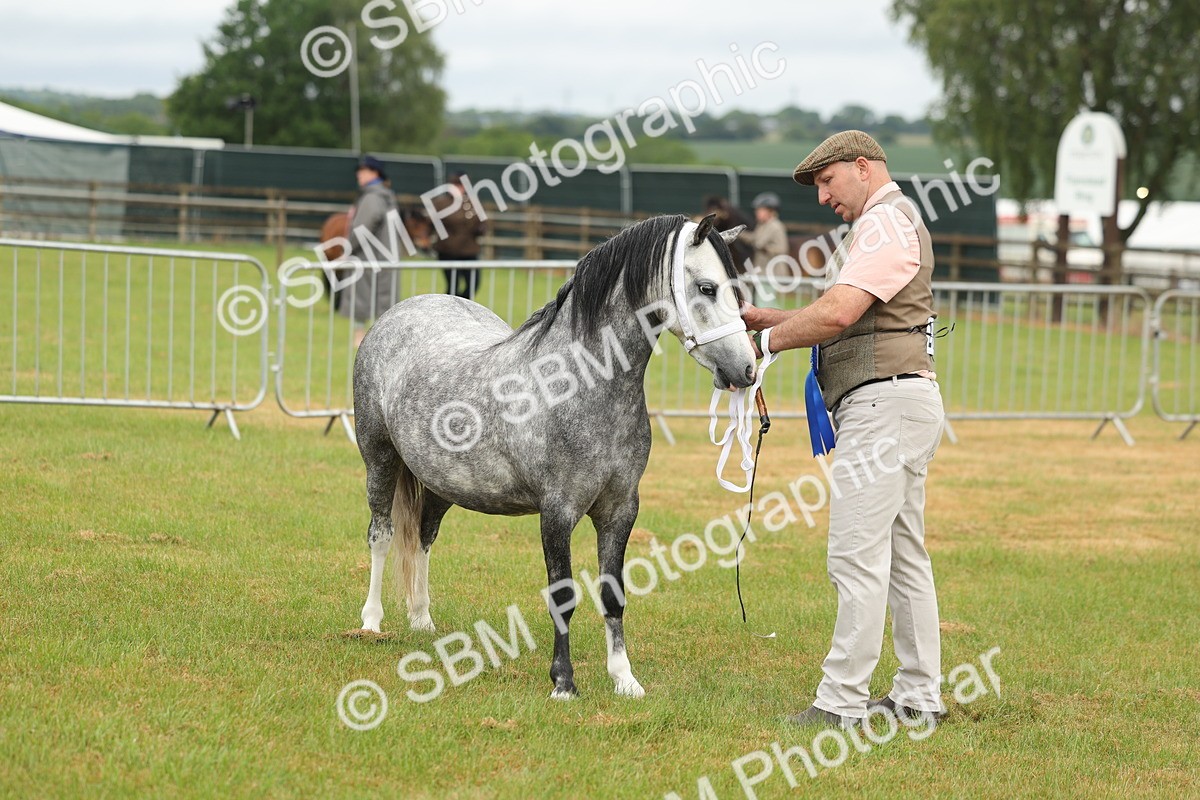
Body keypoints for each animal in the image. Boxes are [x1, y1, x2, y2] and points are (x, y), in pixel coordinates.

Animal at [351, 212, 756, 699]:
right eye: (708, 288)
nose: (747, 369)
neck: (577, 384)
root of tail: (399, 313)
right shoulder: (557, 512)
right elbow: (562, 596)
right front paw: (564, 683)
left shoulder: (620, 509)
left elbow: (612, 593)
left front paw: (624, 678)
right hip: (380, 460)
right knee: (382, 534)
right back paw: (371, 622)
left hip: (441, 482)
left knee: (422, 537)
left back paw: (422, 620)